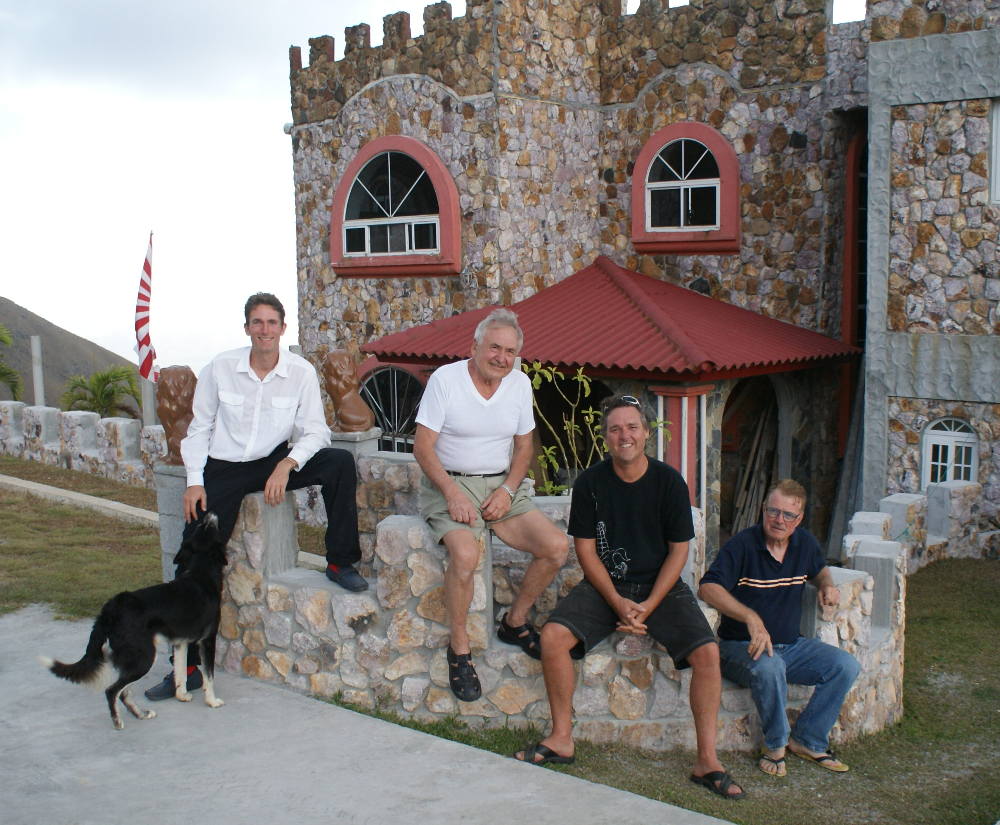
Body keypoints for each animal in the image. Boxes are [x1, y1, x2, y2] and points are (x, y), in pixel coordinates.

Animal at [42, 512, 228, 732]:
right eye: (207, 526)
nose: (209, 514)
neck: (201, 573)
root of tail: (110, 609)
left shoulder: (180, 642)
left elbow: (181, 671)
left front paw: (182, 695)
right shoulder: (207, 640)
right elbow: (209, 675)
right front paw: (212, 701)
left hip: (134, 657)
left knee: (124, 692)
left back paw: (141, 714)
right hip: (144, 656)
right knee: (113, 690)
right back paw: (118, 721)